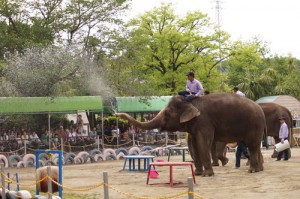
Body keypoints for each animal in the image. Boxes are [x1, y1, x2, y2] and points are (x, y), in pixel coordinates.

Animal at [116, 93, 264, 176]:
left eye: (167, 114)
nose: (116, 114)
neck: (190, 102)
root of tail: (260, 108)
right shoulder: (195, 125)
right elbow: (194, 144)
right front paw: (198, 174)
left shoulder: (204, 121)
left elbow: (202, 143)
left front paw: (207, 175)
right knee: (254, 146)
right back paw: (258, 169)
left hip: (254, 125)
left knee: (252, 146)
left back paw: (252, 171)